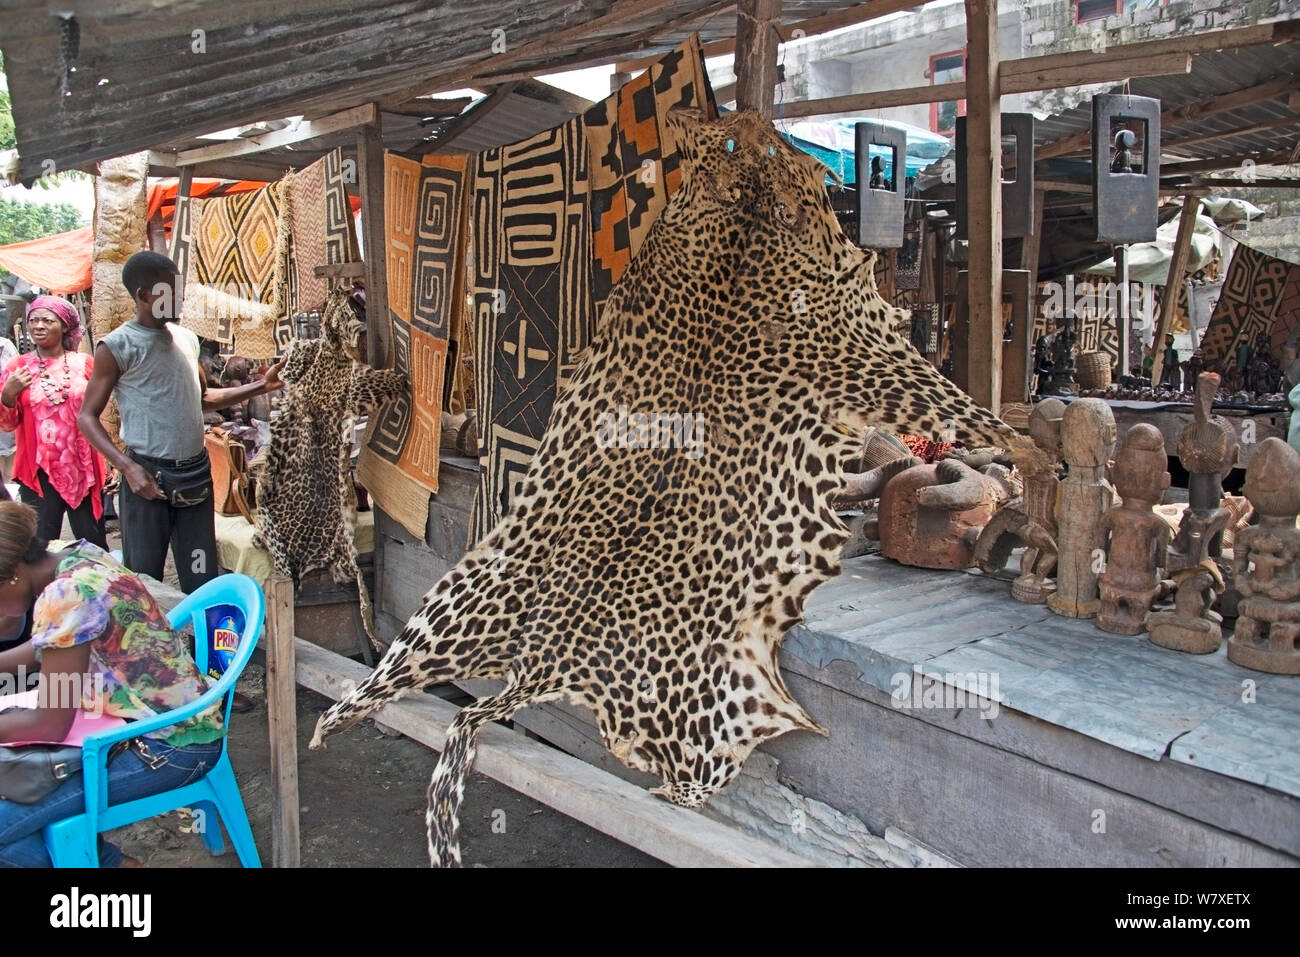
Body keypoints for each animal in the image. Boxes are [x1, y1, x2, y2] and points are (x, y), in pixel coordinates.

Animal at [309, 109, 1038, 866]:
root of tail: (541, 665)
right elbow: (966, 410)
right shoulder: (873, 348)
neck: (736, 241)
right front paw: (1026, 447)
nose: (754, 127)